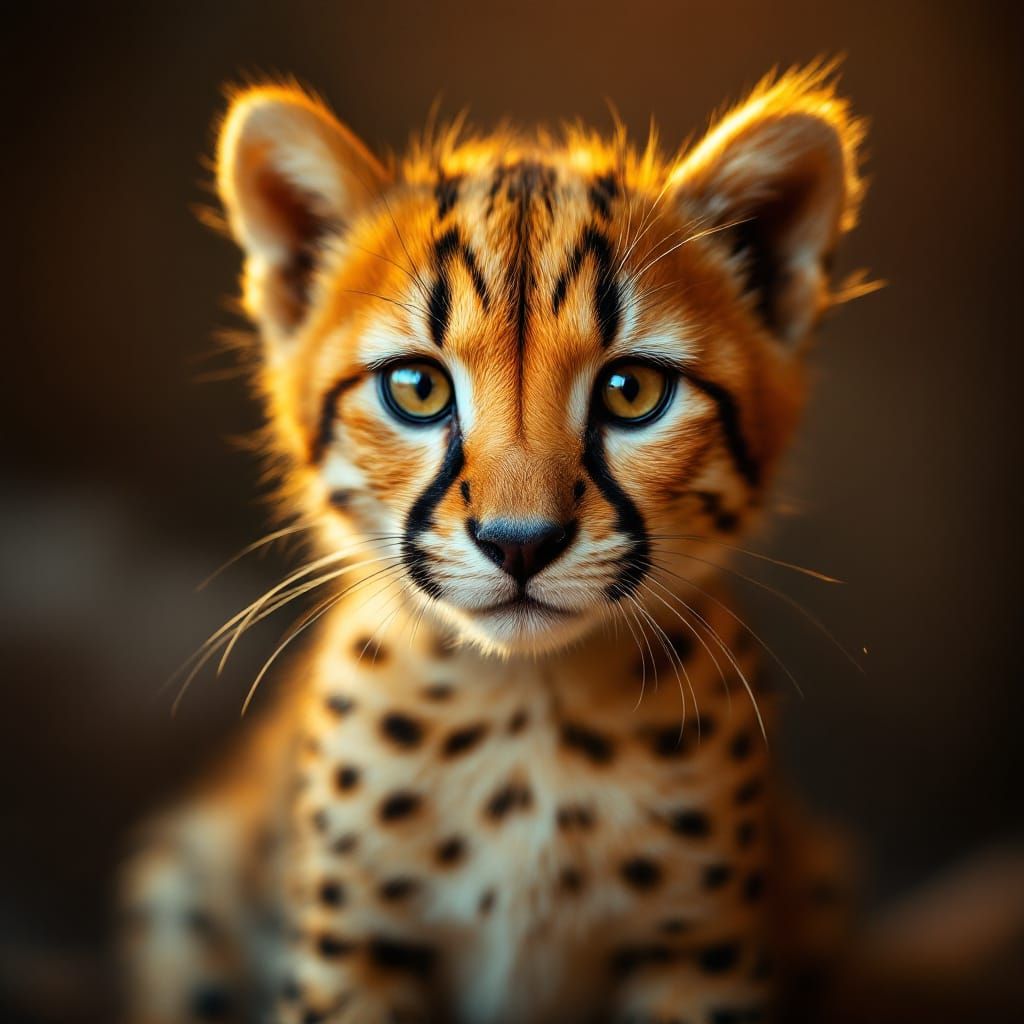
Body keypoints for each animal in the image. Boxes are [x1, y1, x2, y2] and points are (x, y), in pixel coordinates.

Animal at [119, 64, 868, 1024]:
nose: (520, 544)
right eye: (416, 387)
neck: (527, 715)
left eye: (632, 392)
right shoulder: (349, 953)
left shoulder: (702, 956)